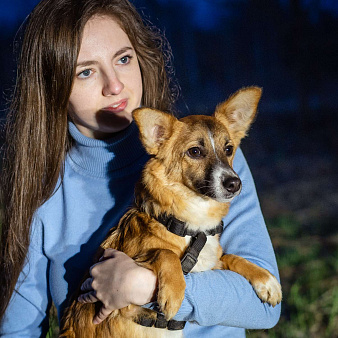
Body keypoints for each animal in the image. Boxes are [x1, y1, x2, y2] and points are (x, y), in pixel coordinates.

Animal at [60, 88, 282, 338]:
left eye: (229, 149)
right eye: (194, 151)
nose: (234, 183)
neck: (193, 226)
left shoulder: (210, 265)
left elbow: (231, 256)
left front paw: (266, 279)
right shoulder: (124, 293)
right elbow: (164, 252)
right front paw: (174, 293)